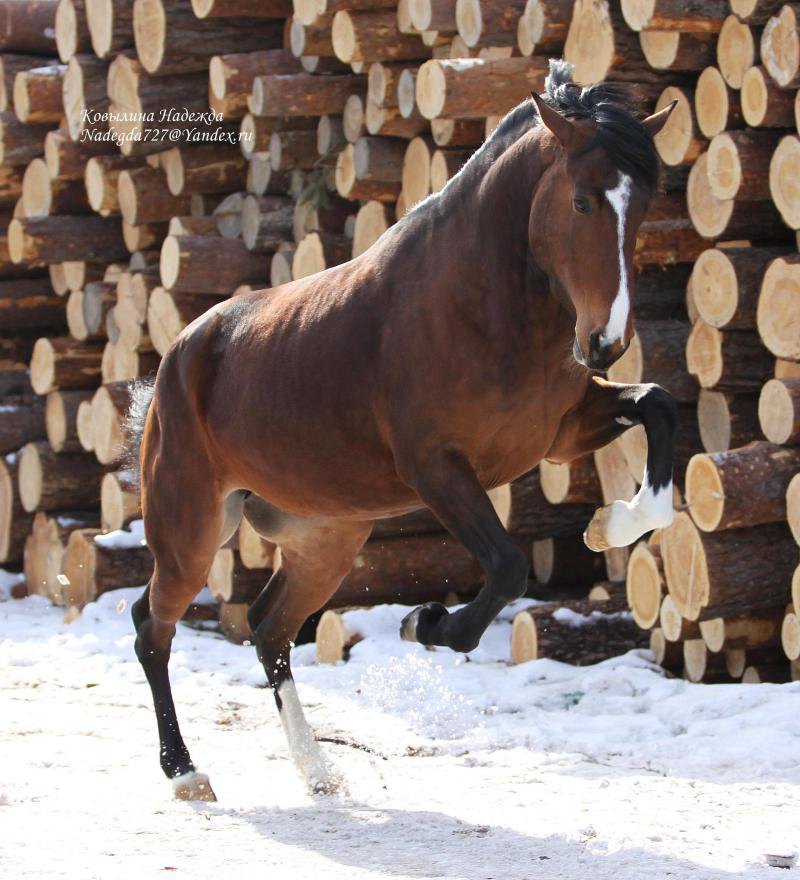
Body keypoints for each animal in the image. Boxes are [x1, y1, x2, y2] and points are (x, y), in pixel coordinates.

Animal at [128, 62, 680, 800]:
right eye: (585, 201)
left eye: (643, 205)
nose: (605, 343)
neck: (481, 305)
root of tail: (179, 353)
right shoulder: (436, 467)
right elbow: (508, 566)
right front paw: (428, 624)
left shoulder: (557, 434)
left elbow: (660, 407)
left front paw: (609, 525)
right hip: (191, 530)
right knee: (152, 627)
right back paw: (186, 771)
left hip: (326, 537)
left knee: (269, 628)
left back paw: (317, 769)